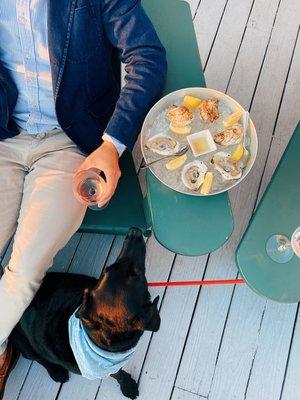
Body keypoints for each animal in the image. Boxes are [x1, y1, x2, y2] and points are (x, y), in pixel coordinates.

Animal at [9, 227, 159, 398]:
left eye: (109, 268)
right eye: (135, 273)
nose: (133, 231)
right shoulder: (104, 368)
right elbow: (118, 373)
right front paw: (127, 385)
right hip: (26, 346)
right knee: (38, 358)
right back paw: (56, 371)